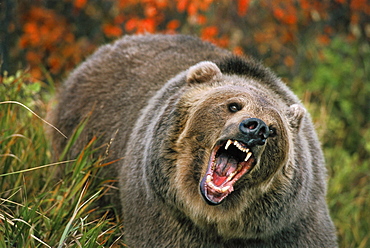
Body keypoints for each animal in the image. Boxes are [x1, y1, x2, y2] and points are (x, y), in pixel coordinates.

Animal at [49, 34, 338, 247]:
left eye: (275, 129)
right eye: (233, 105)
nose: (257, 128)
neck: (216, 220)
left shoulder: (290, 225)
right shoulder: (163, 214)